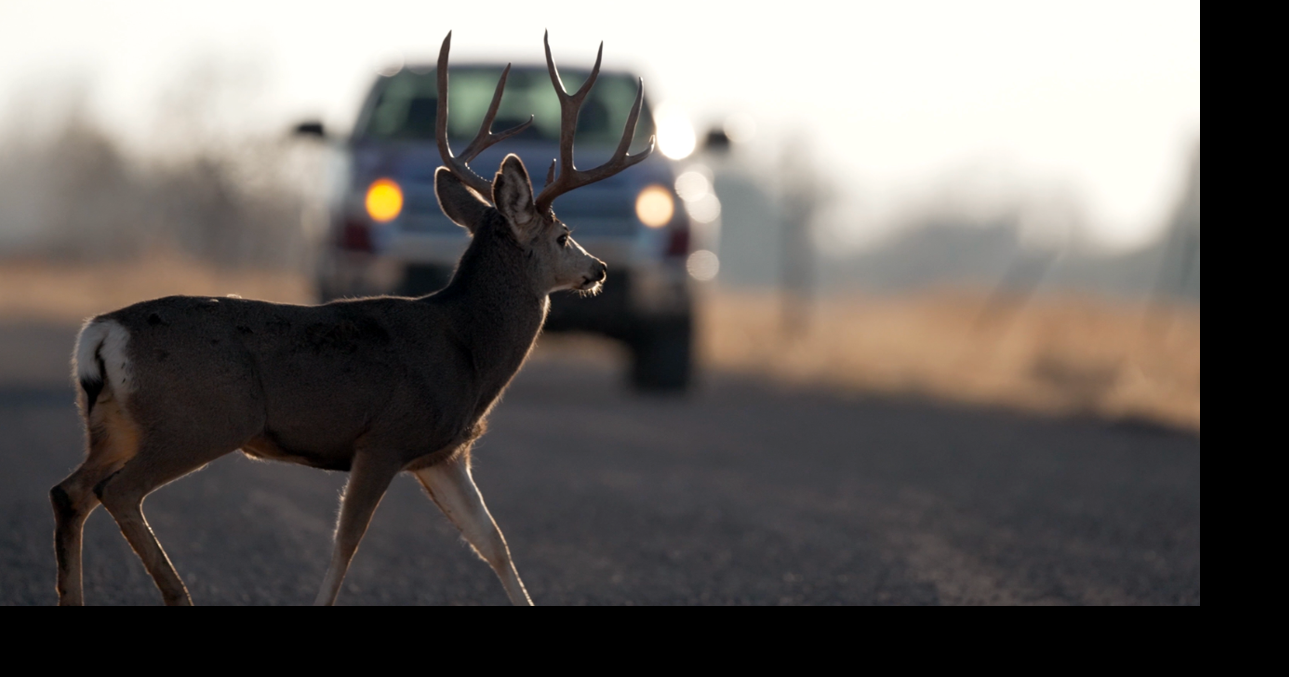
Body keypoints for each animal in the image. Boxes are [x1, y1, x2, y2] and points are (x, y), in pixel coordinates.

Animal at [49, 31, 653, 606]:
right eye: (564, 235)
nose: (597, 269)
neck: (468, 350)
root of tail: (103, 331)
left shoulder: (443, 452)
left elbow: (494, 544)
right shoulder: (385, 438)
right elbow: (345, 545)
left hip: (117, 423)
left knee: (69, 491)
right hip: (199, 419)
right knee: (117, 491)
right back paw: (178, 593)